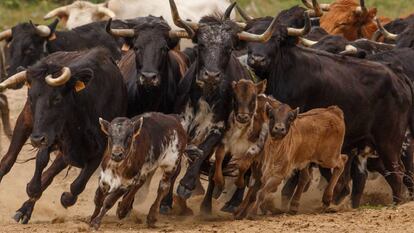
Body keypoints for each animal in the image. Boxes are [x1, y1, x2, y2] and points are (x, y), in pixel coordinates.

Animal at [1, 47, 126, 224]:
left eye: (57, 98)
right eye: (30, 97)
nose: (36, 139)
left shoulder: (100, 150)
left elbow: (78, 184)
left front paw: (66, 198)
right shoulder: (51, 135)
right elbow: (41, 161)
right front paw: (32, 188)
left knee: (50, 173)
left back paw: (25, 210)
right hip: (25, 122)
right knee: (8, 160)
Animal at [243, 12, 414, 209]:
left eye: (277, 38)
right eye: (249, 37)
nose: (257, 59)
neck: (285, 71)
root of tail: (397, 76)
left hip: (389, 141)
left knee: (397, 171)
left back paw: (396, 203)